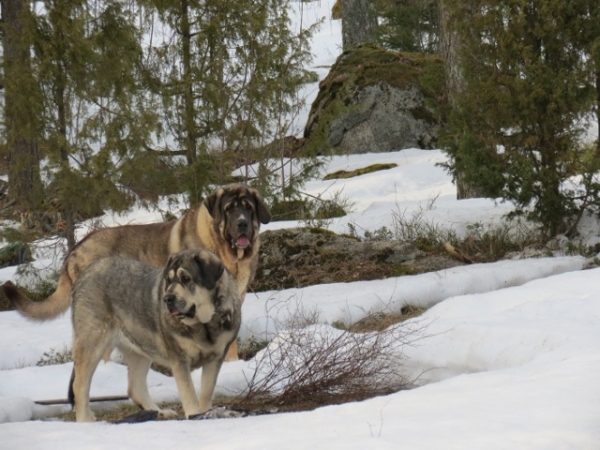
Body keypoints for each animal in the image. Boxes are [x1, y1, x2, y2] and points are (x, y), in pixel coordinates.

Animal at [66, 250, 241, 422]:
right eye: (168, 280)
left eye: (186, 278)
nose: (167, 299)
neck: (204, 324)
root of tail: (85, 273)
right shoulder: (179, 359)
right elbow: (189, 392)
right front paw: (194, 414)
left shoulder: (216, 358)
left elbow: (206, 390)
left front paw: (205, 413)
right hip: (92, 343)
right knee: (80, 385)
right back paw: (85, 420)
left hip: (140, 349)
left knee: (135, 388)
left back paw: (158, 412)